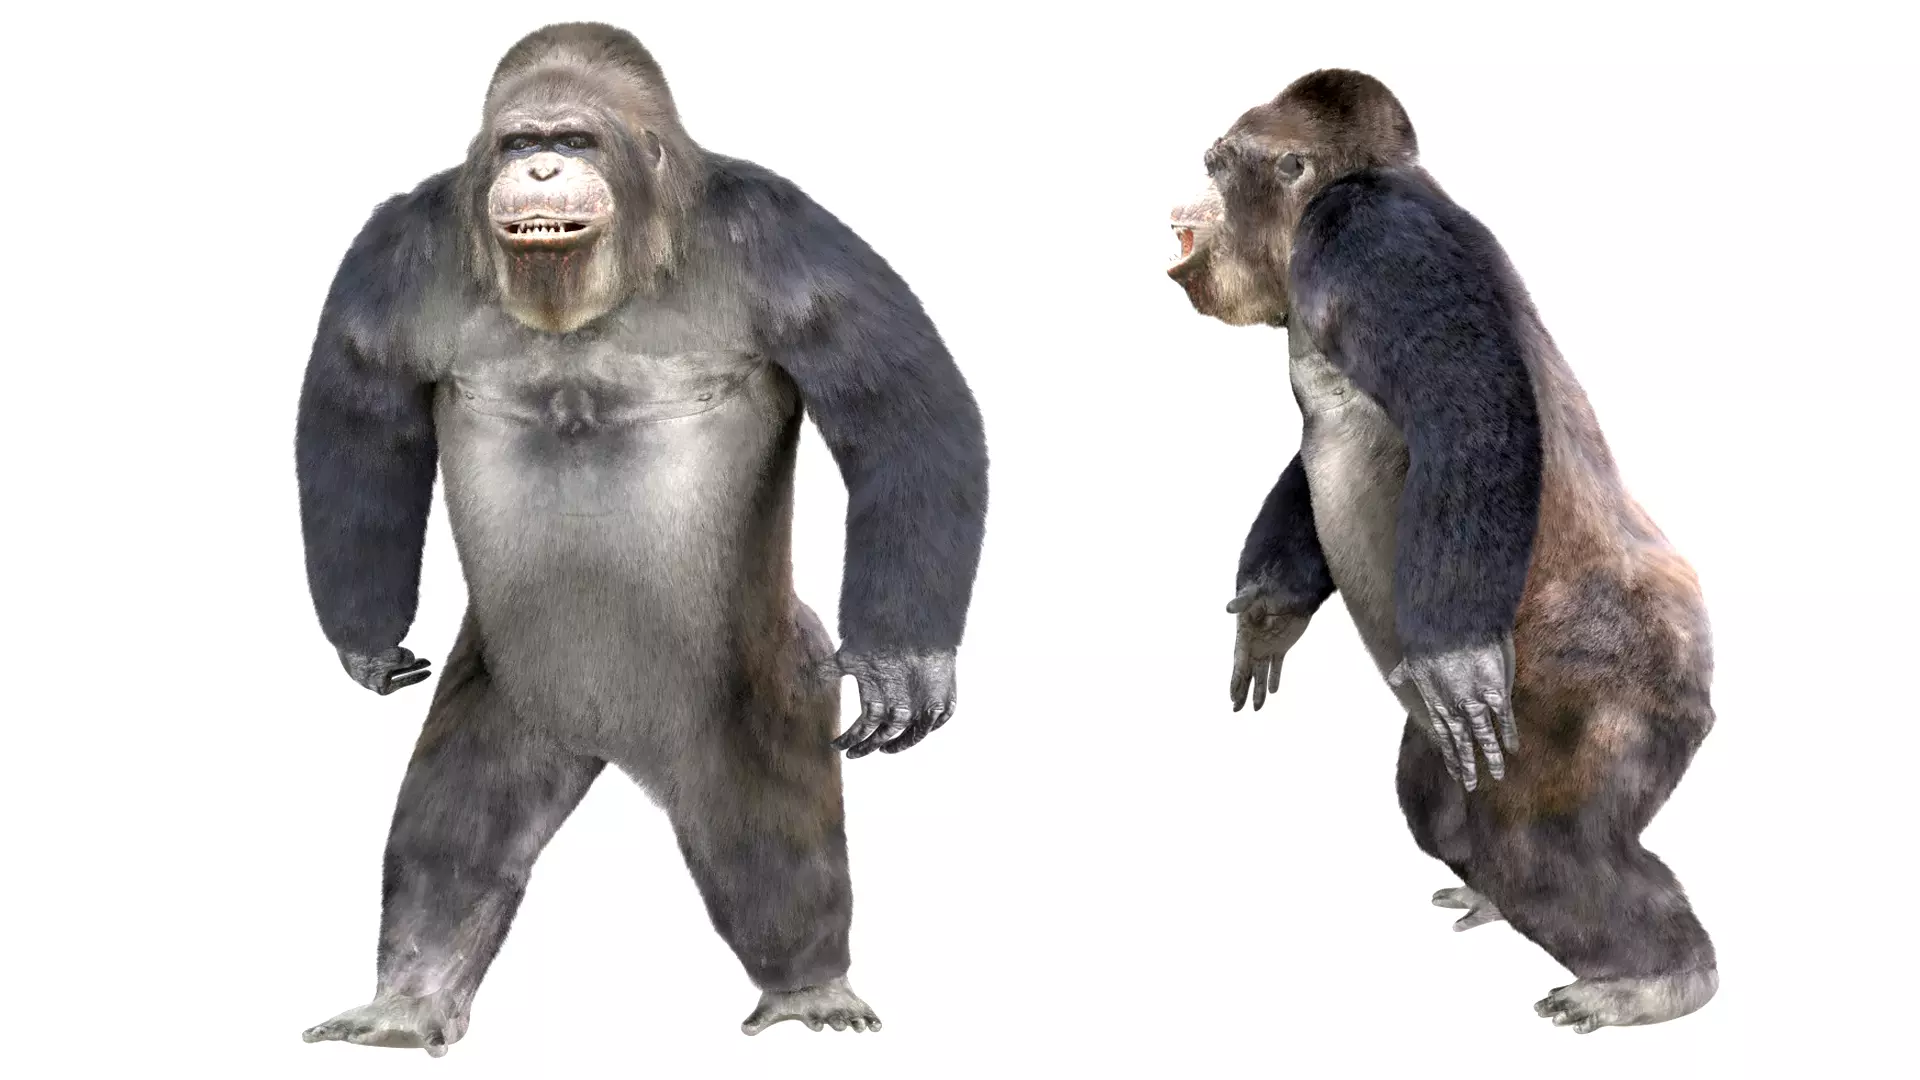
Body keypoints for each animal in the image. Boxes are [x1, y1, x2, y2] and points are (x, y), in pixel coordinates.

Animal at [294, 23, 987, 1054]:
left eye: (575, 141)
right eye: (521, 141)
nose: (541, 167)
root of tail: (612, 743)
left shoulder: (788, 238)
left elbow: (900, 415)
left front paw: (904, 660)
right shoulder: (395, 250)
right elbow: (362, 422)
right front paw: (366, 638)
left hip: (764, 687)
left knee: (769, 837)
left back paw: (810, 986)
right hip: (511, 700)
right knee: (456, 825)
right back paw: (409, 997)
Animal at [1165, 70, 1717, 1033]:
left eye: (1217, 162)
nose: (1181, 203)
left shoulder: (1371, 239)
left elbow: (1468, 410)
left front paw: (1453, 657)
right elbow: (1305, 481)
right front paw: (1271, 608)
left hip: (1623, 689)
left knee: (1543, 845)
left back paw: (1655, 978)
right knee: (1445, 811)